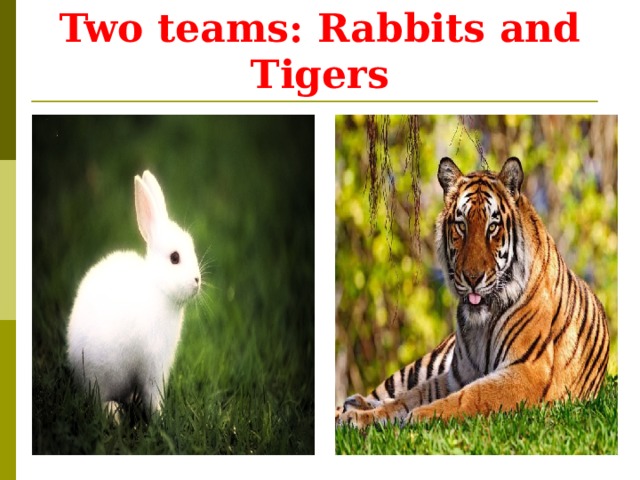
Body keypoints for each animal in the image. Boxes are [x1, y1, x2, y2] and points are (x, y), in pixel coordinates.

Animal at [67, 170, 201, 419]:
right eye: (175, 257)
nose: (197, 281)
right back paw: (114, 412)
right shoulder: (154, 364)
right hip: (101, 373)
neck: (158, 289)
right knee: (97, 398)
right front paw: (160, 418)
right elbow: (153, 395)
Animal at [335, 157, 610, 428]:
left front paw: (421, 416)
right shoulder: (456, 375)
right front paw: (360, 418)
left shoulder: (527, 370)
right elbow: (408, 398)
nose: (472, 278)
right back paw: (352, 405)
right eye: (461, 226)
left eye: (492, 227)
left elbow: (470, 396)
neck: (481, 324)